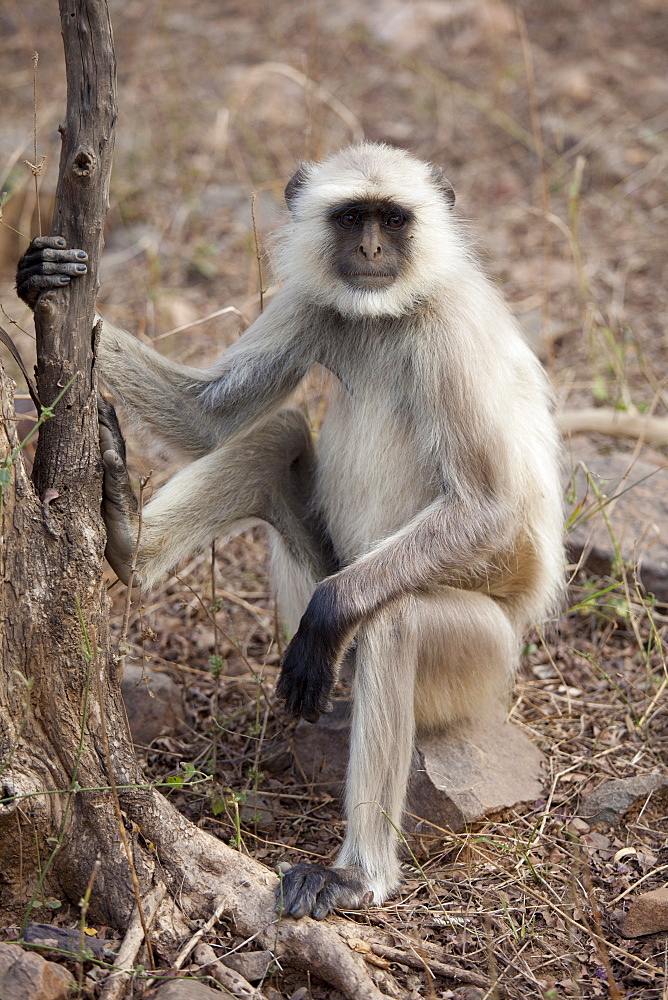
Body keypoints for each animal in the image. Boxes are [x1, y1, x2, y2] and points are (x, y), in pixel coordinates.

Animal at [15, 143, 564, 920]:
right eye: (352, 219)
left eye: (394, 220)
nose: (371, 250)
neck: (390, 312)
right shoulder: (314, 301)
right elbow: (208, 418)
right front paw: (38, 276)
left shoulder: (449, 328)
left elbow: (488, 508)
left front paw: (328, 615)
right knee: (274, 436)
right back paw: (125, 537)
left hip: (483, 664)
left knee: (396, 621)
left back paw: (359, 874)